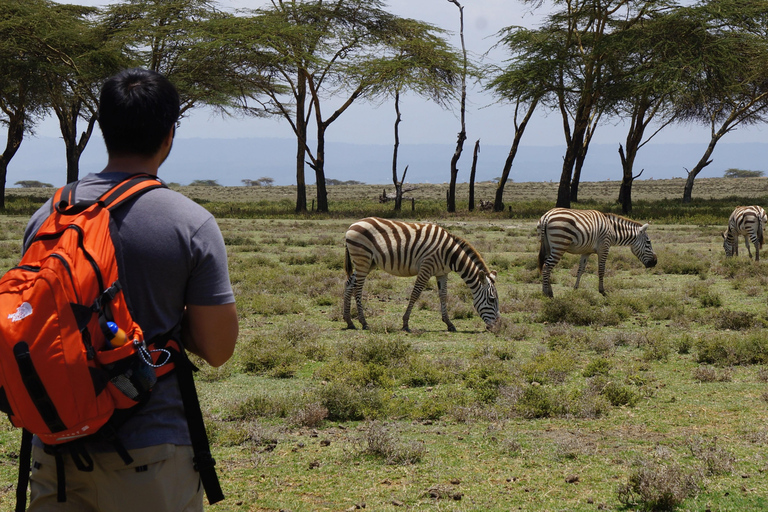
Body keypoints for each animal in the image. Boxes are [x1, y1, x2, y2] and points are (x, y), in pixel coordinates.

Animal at [344, 217, 500, 332]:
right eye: (492, 300)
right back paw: (364, 322)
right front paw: (405, 323)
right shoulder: (426, 267)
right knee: (358, 289)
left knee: (349, 284)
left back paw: (349, 321)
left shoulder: (442, 273)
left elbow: (443, 295)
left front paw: (449, 323)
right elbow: (416, 293)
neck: (450, 254)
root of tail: (353, 224)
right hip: (363, 259)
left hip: (367, 262)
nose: (497, 327)